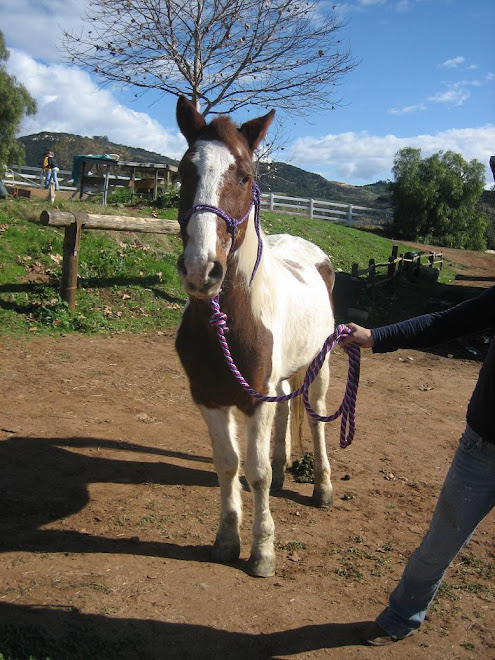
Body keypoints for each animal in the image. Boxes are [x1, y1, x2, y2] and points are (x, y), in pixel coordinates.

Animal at [174, 95, 338, 576]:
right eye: (184, 171)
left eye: (245, 175)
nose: (201, 270)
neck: (229, 323)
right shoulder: (209, 398)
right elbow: (229, 465)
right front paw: (227, 540)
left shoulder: (253, 399)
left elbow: (257, 470)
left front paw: (263, 551)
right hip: (278, 380)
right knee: (284, 409)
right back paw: (286, 470)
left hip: (319, 365)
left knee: (317, 416)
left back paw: (322, 487)